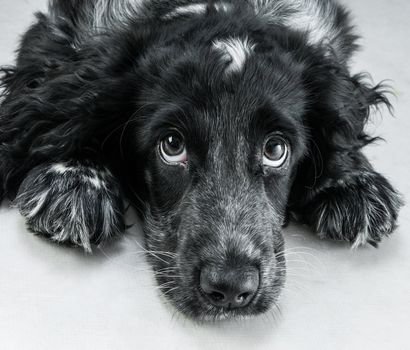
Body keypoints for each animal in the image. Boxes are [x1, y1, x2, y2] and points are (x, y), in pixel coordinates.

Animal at [0, 0, 404, 322]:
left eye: (275, 150)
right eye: (171, 145)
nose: (231, 288)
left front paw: (351, 182)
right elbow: (68, 109)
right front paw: (74, 180)